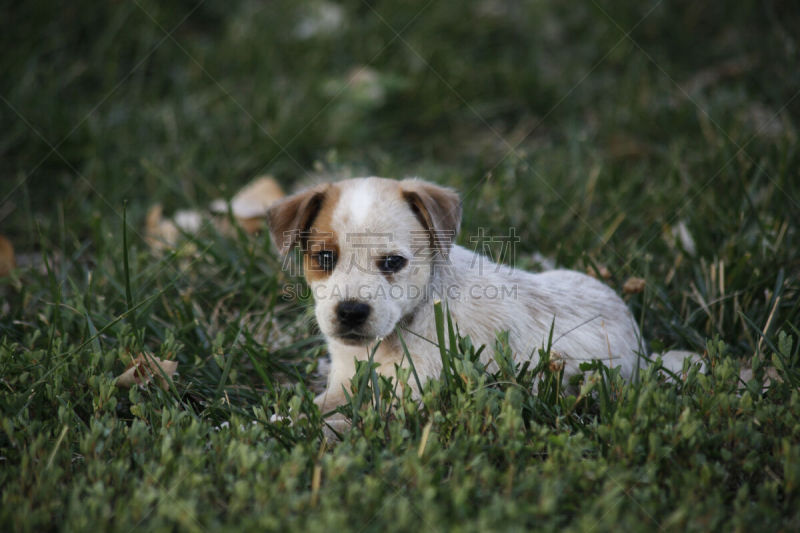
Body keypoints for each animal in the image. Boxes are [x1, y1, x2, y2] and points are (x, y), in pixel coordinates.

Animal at [270, 178, 692, 416]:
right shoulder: (344, 385)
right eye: (325, 258)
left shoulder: (407, 399)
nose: (351, 311)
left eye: (392, 262)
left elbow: (336, 425)